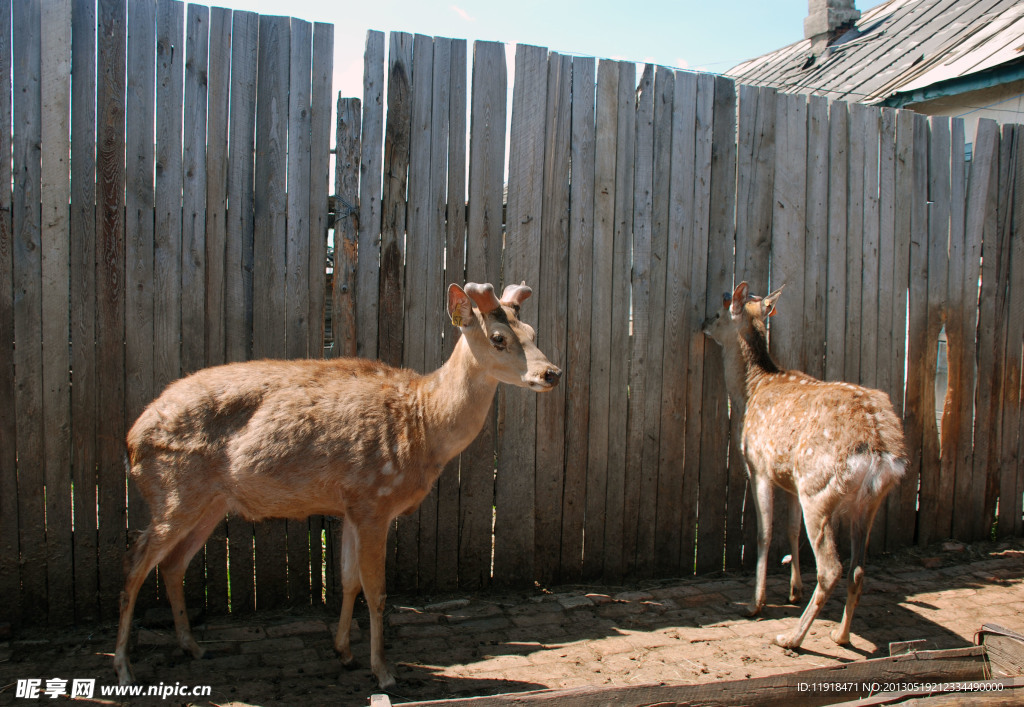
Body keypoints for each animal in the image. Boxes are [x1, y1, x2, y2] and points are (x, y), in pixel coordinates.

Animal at [114, 278, 561, 684]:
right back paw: (123, 668)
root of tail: (132, 438)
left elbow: (348, 582)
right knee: (135, 561)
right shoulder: (374, 500)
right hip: (174, 491)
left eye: (532, 332)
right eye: (499, 338)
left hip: (210, 503)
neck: (423, 425)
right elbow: (376, 592)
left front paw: (344, 652)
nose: (552, 372)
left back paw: (193, 646)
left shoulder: (350, 505)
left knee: (172, 563)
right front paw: (383, 672)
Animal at [700, 280, 909, 651]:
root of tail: (881, 449)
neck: (751, 391)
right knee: (858, 568)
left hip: (819, 488)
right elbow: (791, 530)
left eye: (720, 312)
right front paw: (794, 592)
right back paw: (840, 635)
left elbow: (765, 533)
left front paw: (755, 604)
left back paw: (792, 638)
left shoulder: (759, 466)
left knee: (831, 568)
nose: (703, 324)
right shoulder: (791, 481)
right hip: (868, 501)